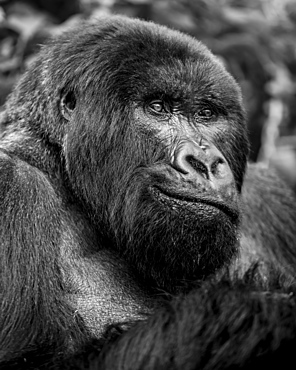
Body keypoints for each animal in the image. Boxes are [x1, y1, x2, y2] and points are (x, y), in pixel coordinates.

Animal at [0, 15, 296, 370]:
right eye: (158, 107)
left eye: (206, 114)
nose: (205, 163)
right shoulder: (10, 182)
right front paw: (255, 309)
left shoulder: (269, 194)